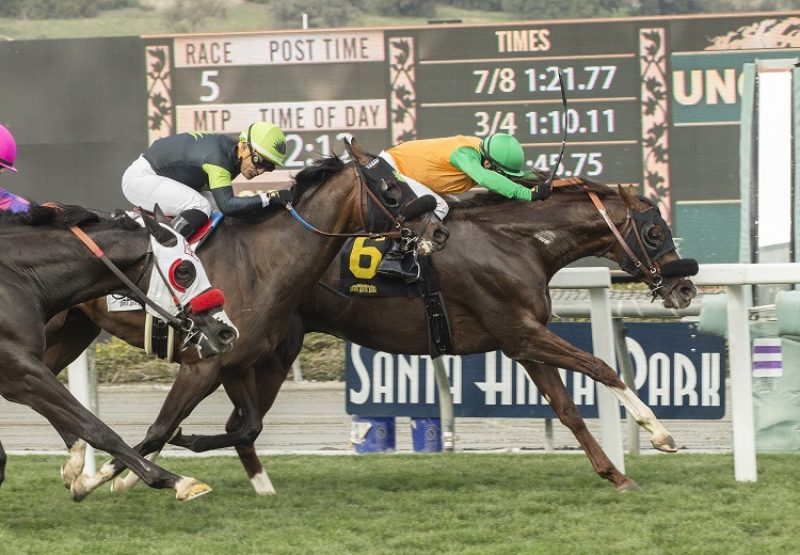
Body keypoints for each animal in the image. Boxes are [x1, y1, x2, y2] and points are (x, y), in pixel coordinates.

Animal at [0, 202, 238, 502]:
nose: (226, 331)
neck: (16, 277)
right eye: (184, 271)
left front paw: (79, 475)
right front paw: (178, 481)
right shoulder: (19, 368)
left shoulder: (19, 372)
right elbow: (97, 428)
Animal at [43, 146, 446, 502]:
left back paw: (74, 460)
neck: (260, 262)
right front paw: (100, 479)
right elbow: (159, 430)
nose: (438, 231)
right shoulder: (201, 366)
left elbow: (248, 426)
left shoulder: (234, 362)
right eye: (391, 189)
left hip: (72, 332)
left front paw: (184, 443)